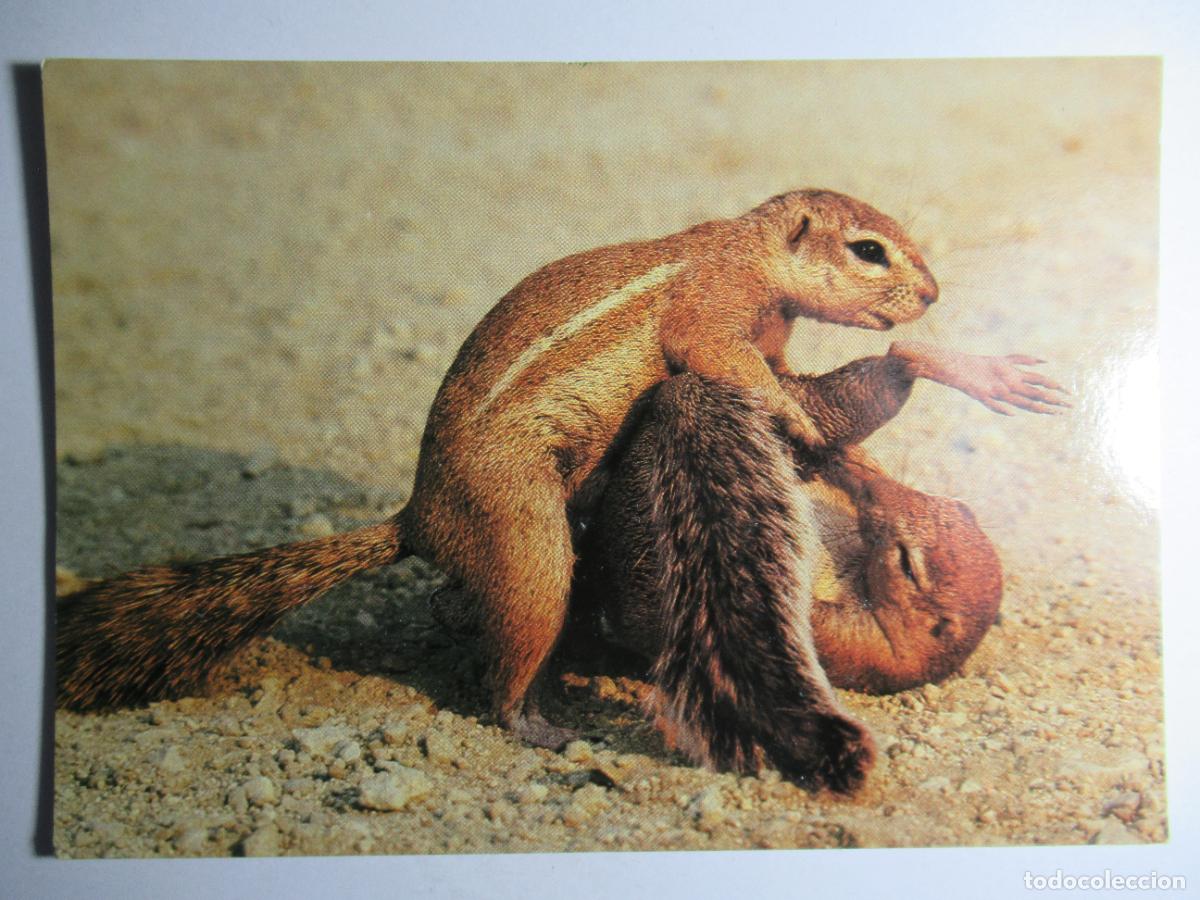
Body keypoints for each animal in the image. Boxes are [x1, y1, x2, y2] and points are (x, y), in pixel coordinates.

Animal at [57, 189, 942, 761]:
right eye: (868, 249)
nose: (933, 295)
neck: (745, 252)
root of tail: (415, 519)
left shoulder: (771, 335)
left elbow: (779, 373)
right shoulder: (711, 312)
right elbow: (725, 360)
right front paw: (796, 418)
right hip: (530, 548)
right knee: (501, 674)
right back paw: (542, 725)